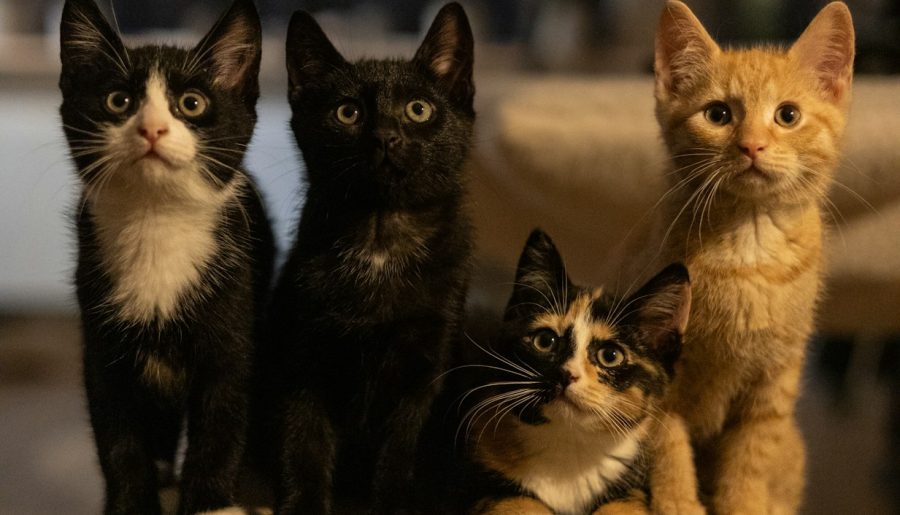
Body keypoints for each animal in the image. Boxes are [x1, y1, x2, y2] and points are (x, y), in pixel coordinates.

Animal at [59, 1, 274, 515]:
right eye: (118, 101)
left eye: (192, 104)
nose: (152, 128)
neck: (156, 222)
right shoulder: (102, 349)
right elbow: (119, 439)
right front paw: (133, 502)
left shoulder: (233, 331)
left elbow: (221, 426)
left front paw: (211, 503)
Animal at [262, 4, 478, 515]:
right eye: (348, 113)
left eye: (419, 109)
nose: (385, 136)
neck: (381, 239)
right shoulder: (303, 358)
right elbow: (304, 443)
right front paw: (304, 505)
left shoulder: (426, 370)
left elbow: (399, 452)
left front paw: (391, 504)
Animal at [648, 2, 856, 512]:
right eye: (718, 114)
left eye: (788, 115)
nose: (752, 145)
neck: (750, 246)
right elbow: (666, 442)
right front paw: (677, 500)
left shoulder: (775, 383)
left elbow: (750, 456)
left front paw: (743, 501)